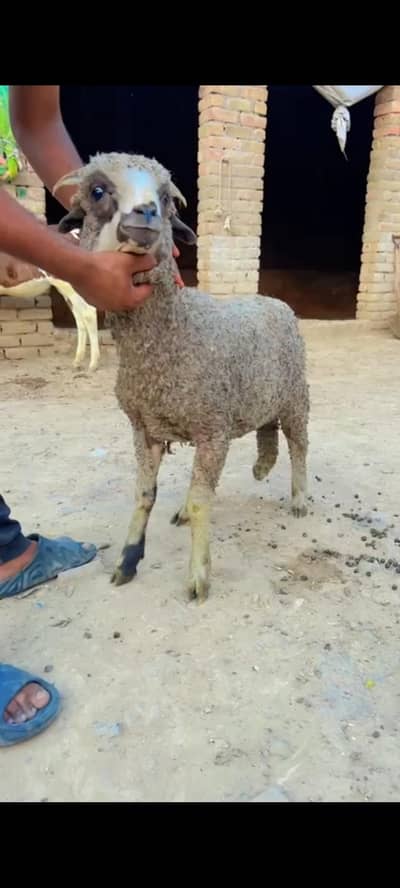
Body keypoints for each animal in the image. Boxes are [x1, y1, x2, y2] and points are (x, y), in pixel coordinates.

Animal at [54, 152, 309, 602]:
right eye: (98, 191)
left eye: (165, 199)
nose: (145, 213)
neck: (174, 332)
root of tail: (273, 300)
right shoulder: (145, 429)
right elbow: (144, 495)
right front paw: (127, 561)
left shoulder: (212, 431)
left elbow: (201, 501)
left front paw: (198, 576)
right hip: (260, 393)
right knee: (267, 429)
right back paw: (262, 466)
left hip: (296, 395)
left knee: (299, 444)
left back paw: (298, 497)